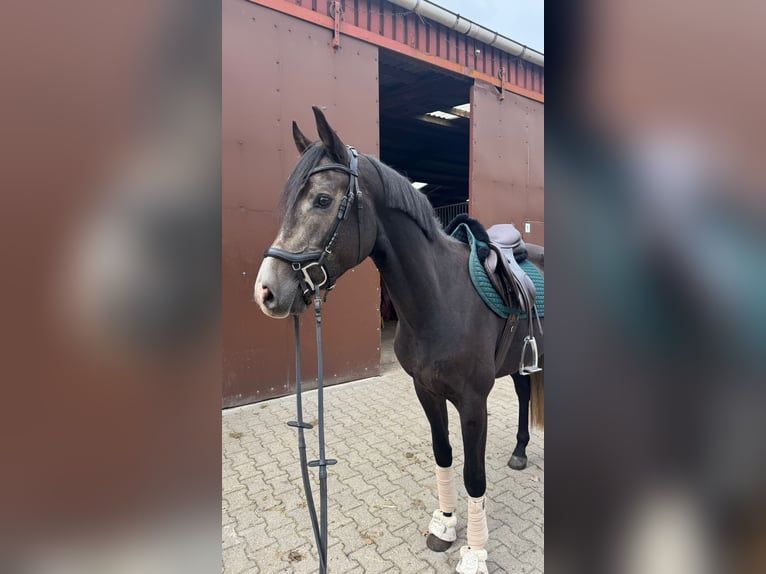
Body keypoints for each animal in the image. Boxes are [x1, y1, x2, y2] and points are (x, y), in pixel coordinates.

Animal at [254, 107, 544, 573]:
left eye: (322, 200)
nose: (266, 292)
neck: (441, 298)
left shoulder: (473, 402)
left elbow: (473, 475)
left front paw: (475, 553)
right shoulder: (426, 391)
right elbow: (443, 454)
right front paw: (444, 525)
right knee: (521, 393)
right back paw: (519, 451)